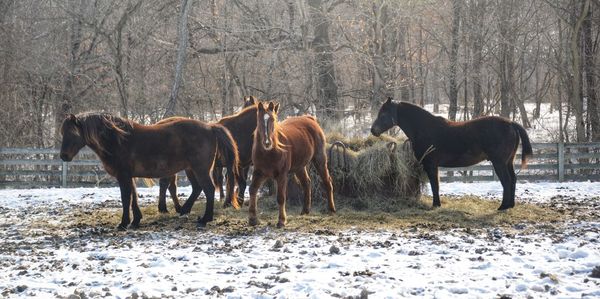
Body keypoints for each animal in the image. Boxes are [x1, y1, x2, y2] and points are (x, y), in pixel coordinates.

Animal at [59, 112, 239, 230]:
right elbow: (133, 197)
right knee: (197, 188)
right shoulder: (129, 176)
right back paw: (184, 210)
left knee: (208, 189)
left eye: (72, 133)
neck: (118, 140)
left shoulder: (123, 176)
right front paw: (135, 220)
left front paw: (123, 223)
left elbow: (126, 198)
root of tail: (210, 127)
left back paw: (204, 219)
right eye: (63, 133)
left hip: (199, 169)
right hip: (191, 169)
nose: (63, 156)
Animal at [370, 98, 536, 211]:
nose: (373, 130)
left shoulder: (431, 165)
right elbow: (436, 185)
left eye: (384, 114)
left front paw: (436, 204)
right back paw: (510, 205)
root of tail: (511, 123)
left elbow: (435, 185)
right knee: (513, 180)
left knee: (507, 181)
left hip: (499, 163)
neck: (424, 128)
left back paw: (503, 206)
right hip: (508, 162)